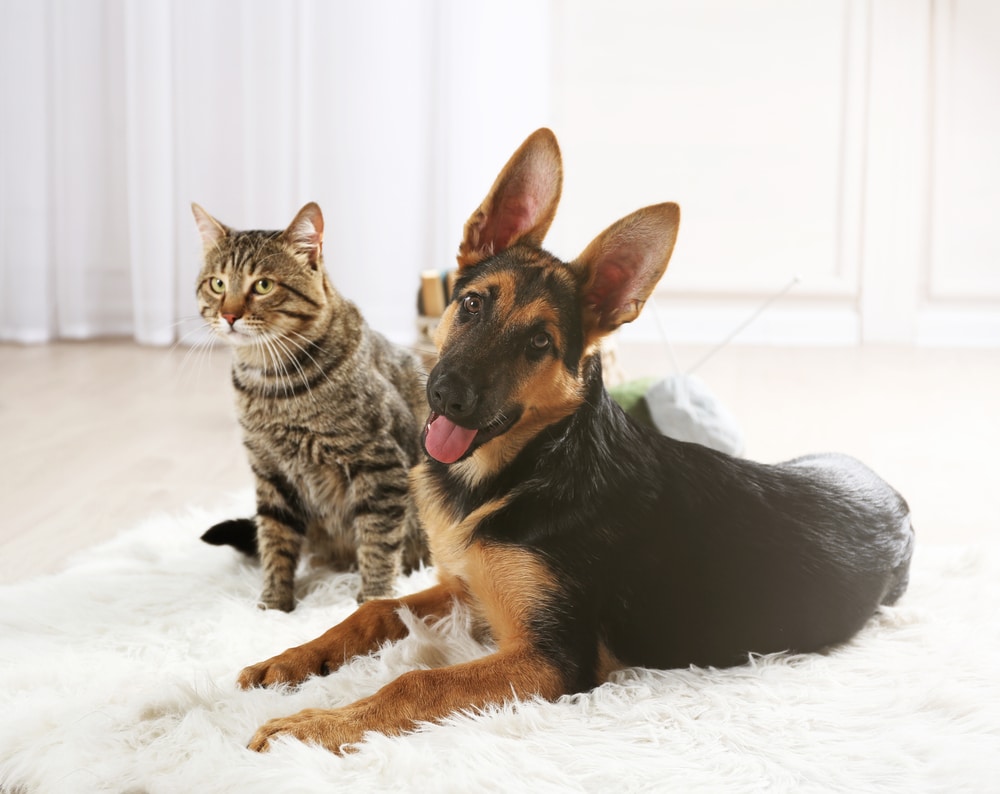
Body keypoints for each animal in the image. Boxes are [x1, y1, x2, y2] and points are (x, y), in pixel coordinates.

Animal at [192, 201, 430, 608]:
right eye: (218, 283)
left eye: (263, 285)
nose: (229, 315)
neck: (272, 387)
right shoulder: (269, 470)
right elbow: (275, 538)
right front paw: (274, 604)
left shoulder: (380, 464)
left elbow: (379, 539)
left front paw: (375, 598)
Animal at [240, 128, 916, 748]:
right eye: (474, 304)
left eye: (539, 342)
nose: (447, 396)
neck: (530, 465)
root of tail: (893, 495)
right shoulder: (464, 589)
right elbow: (373, 609)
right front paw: (290, 660)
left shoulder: (553, 659)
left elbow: (415, 682)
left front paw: (311, 725)